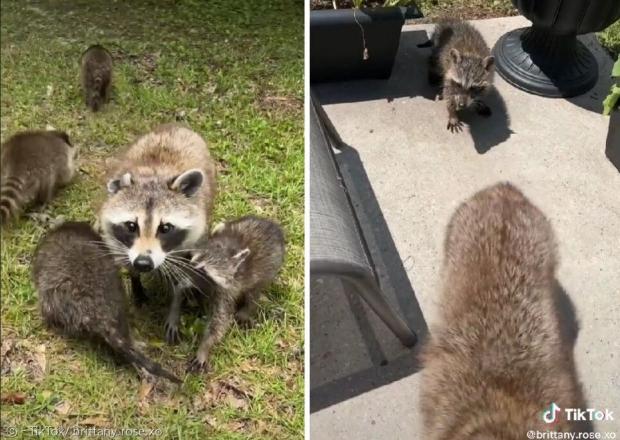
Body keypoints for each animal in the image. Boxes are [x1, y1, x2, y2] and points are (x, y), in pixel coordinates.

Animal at [98, 124, 218, 344]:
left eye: (165, 228)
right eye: (131, 226)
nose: (143, 263)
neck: (155, 177)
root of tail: (176, 126)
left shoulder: (191, 242)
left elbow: (181, 279)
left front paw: (175, 307)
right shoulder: (119, 242)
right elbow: (128, 263)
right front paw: (136, 282)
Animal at [186, 216, 286, 372]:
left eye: (204, 270)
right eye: (195, 260)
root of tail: (273, 226)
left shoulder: (225, 291)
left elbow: (220, 321)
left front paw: (204, 347)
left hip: (269, 269)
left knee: (254, 293)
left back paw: (246, 310)